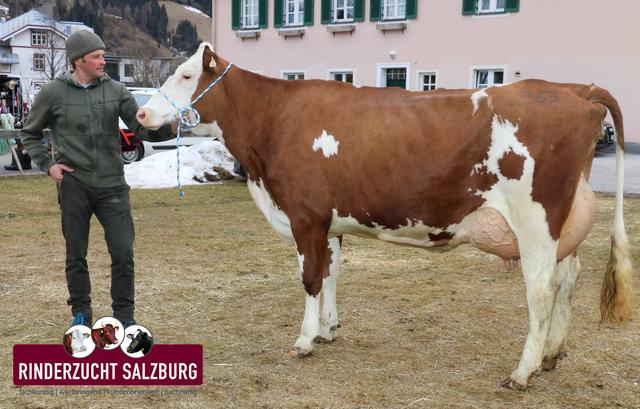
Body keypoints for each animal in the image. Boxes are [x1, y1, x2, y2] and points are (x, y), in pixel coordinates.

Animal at [136, 43, 636, 388]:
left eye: (185, 74)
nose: (140, 112)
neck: (272, 123)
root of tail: (573, 89)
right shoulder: (329, 220)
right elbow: (332, 271)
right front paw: (328, 330)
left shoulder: (304, 216)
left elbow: (310, 278)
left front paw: (304, 340)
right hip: (563, 223)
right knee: (568, 278)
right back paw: (551, 355)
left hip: (535, 219)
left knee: (542, 290)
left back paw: (523, 371)